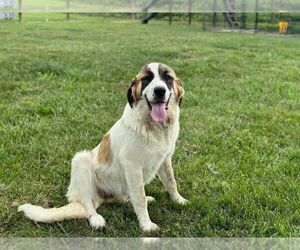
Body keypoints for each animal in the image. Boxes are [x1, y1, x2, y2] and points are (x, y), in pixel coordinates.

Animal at [18, 62, 188, 232]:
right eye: (147, 78)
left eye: (168, 77)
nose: (159, 90)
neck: (155, 128)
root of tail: (101, 198)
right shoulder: (132, 166)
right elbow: (139, 198)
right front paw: (146, 225)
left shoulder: (165, 160)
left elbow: (171, 182)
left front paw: (178, 200)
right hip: (81, 160)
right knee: (87, 203)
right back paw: (96, 219)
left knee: (124, 198)